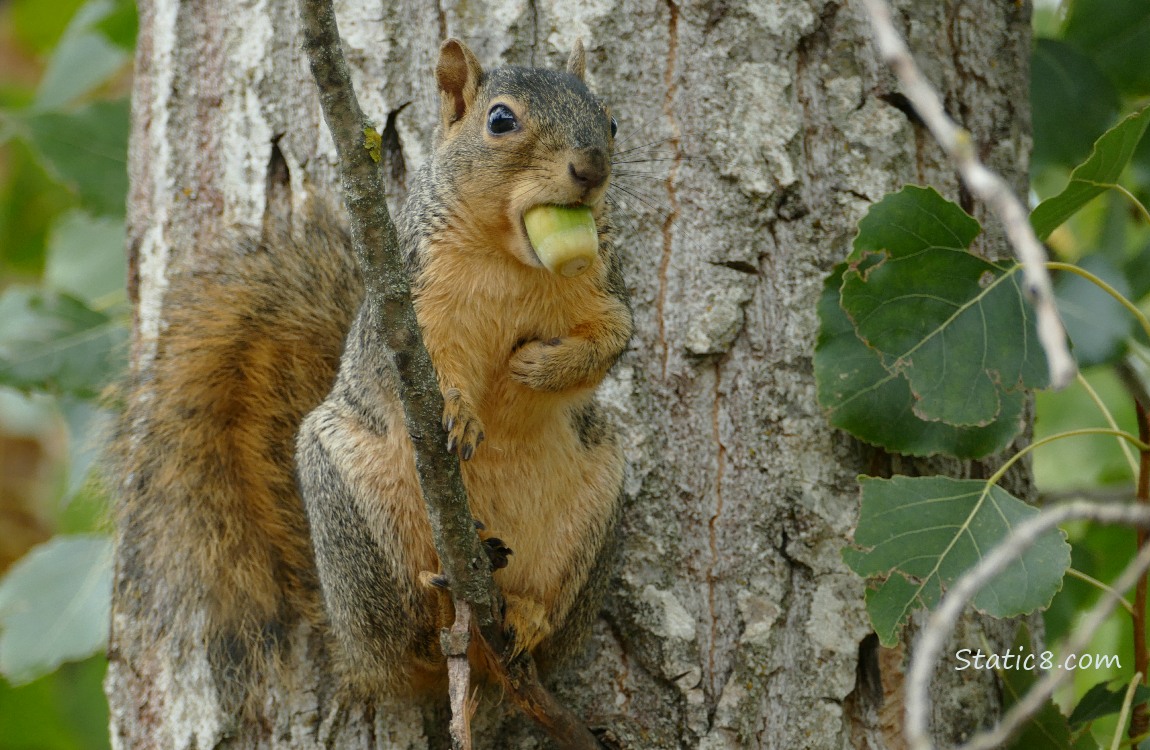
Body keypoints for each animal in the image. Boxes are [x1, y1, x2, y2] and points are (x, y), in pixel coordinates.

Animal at [110, 37, 631, 704]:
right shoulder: (408, 304)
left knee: (538, 615)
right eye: (500, 121)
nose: (592, 168)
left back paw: (525, 619)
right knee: (404, 635)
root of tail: (353, 650)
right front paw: (457, 411)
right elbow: (411, 368)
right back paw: (434, 608)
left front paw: (540, 365)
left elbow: (612, 342)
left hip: (595, 509)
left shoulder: (603, 291)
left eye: (611, 122)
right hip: (346, 497)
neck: (511, 258)